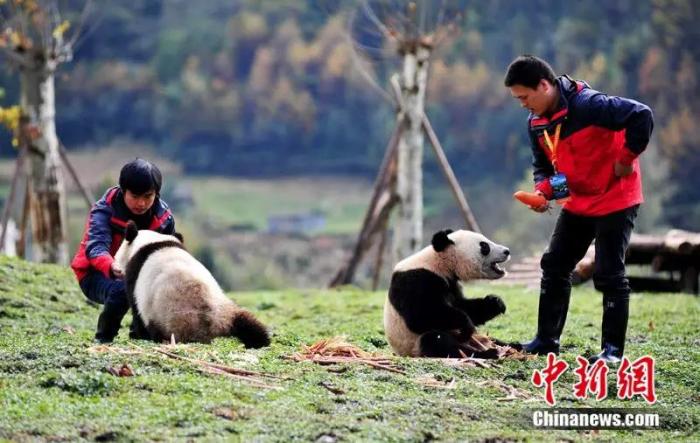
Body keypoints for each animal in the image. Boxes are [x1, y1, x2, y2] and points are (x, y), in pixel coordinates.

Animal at [113, 220, 270, 348]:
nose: (115, 264)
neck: (151, 242)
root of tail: (211, 327)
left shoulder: (135, 276)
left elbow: (136, 308)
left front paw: (137, 335)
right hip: (226, 309)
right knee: (249, 325)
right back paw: (260, 341)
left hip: (165, 318)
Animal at [386, 231, 512, 360]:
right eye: (484, 246)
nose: (507, 251)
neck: (440, 262)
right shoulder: (415, 280)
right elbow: (419, 316)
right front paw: (466, 325)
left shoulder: (451, 282)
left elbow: (464, 306)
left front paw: (495, 303)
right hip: (415, 346)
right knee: (436, 341)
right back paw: (487, 353)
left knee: (495, 341)